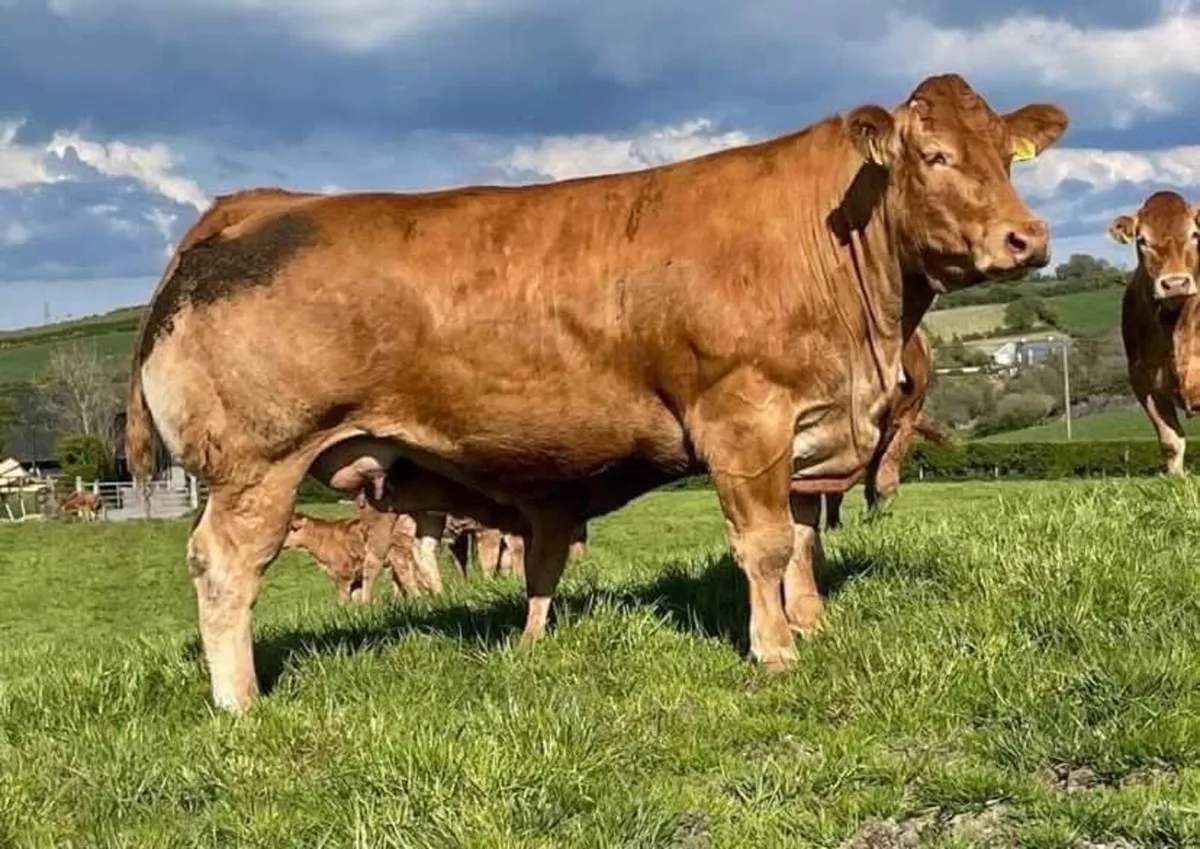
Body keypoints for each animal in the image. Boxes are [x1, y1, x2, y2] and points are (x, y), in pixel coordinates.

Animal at [125, 72, 1067, 712]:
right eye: (934, 156)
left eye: (1005, 156)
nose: (1026, 238)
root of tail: (251, 205)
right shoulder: (743, 419)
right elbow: (762, 546)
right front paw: (774, 652)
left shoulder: (807, 430)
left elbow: (802, 540)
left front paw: (812, 625)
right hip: (260, 463)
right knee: (225, 565)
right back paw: (240, 701)